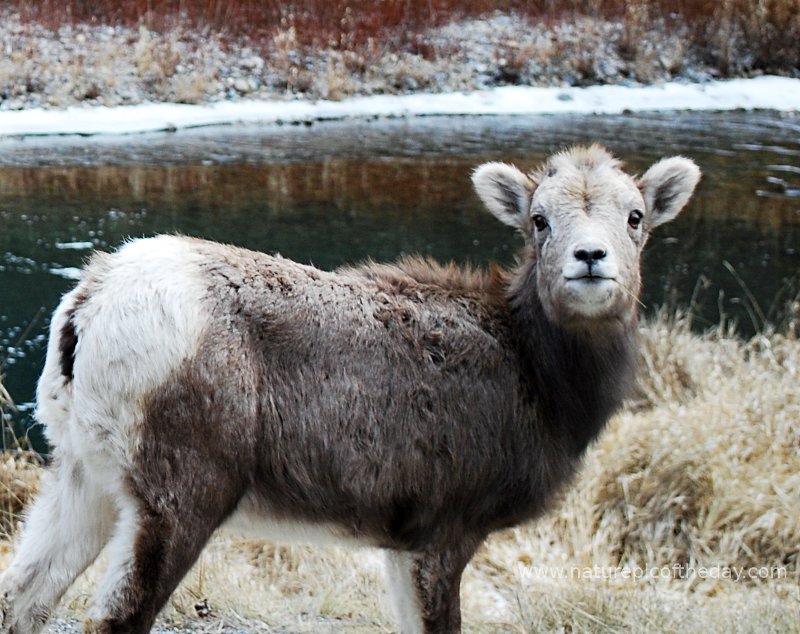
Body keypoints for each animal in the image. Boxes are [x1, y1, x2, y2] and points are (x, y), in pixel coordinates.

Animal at [0, 146, 700, 628]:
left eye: (635, 216)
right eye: (539, 220)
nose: (591, 258)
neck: (543, 382)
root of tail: (87, 305)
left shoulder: (400, 543)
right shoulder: (444, 531)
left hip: (84, 477)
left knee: (22, 597)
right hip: (181, 496)